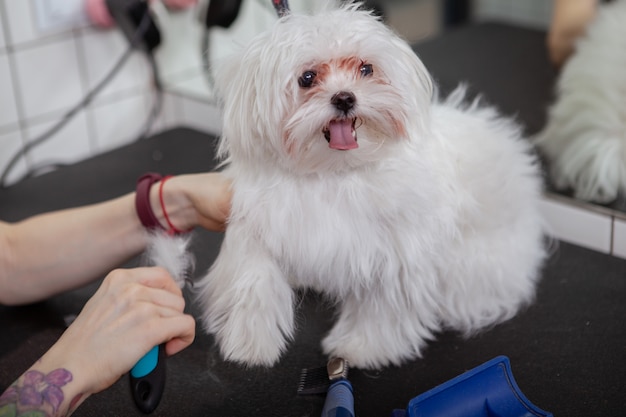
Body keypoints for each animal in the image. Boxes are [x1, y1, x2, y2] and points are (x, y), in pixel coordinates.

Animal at [196, 2, 544, 368]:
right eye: (307, 78)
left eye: (365, 68)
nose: (344, 98)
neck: (334, 172)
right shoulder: (262, 224)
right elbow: (253, 279)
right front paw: (250, 342)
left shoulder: (393, 256)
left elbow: (381, 308)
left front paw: (359, 348)